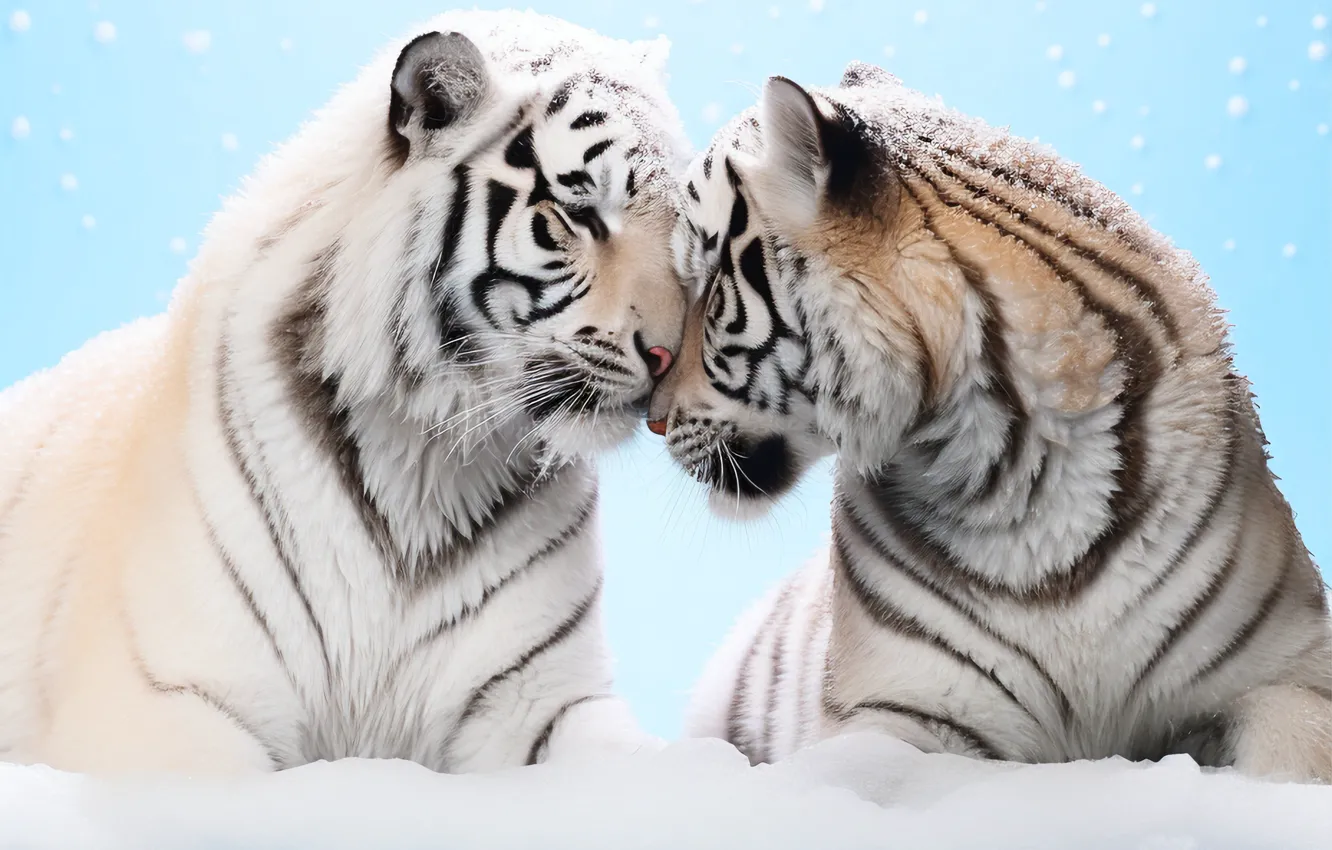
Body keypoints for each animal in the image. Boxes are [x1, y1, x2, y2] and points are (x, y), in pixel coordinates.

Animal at [0, 10, 691, 775]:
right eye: (579, 212)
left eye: (682, 221)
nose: (671, 357)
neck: (428, 462)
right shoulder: (168, 704)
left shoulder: (542, 701)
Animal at [648, 60, 1332, 782]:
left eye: (707, 286)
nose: (652, 418)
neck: (1024, 468)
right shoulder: (902, 708)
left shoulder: (1286, 670)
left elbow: (1294, 751)